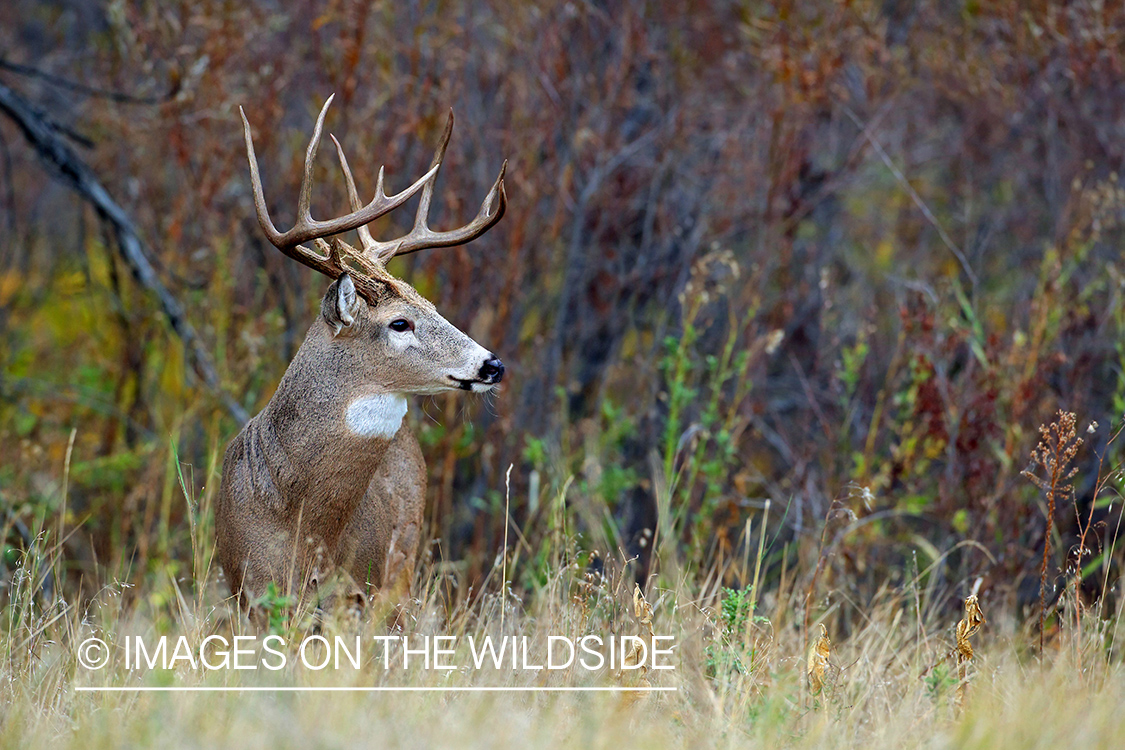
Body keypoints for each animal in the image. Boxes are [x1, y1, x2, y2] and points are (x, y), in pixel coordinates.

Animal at [214, 93, 506, 620]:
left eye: (435, 307)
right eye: (400, 323)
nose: (492, 364)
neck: (304, 530)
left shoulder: (360, 589)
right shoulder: (247, 588)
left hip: (403, 564)